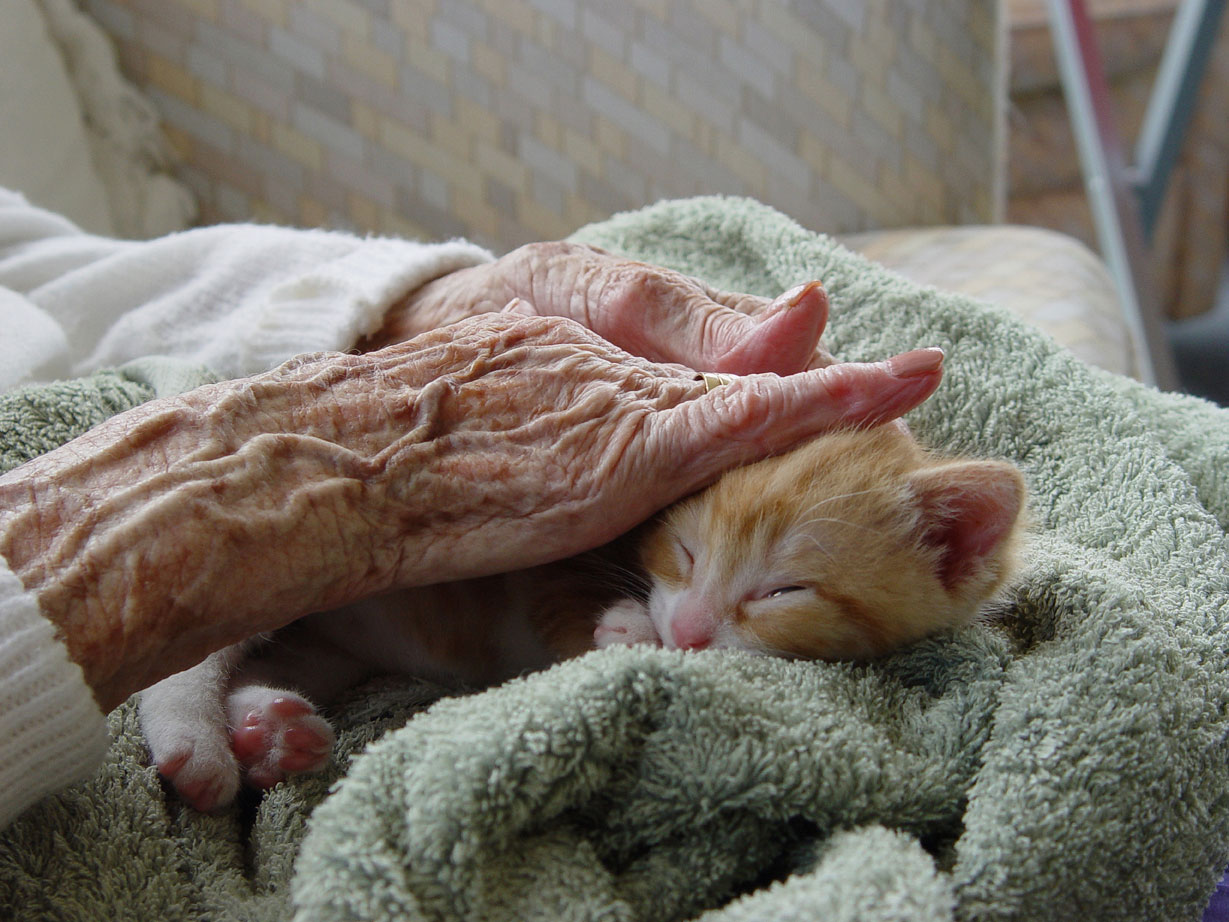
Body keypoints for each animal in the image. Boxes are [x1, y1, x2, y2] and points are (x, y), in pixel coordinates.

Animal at [137, 425, 1027, 806]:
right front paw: (625, 630)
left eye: (783, 592)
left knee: (277, 662)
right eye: (687, 551)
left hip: (330, 644)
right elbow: (564, 600)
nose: (689, 631)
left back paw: (269, 729)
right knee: (187, 656)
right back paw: (197, 741)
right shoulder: (549, 543)